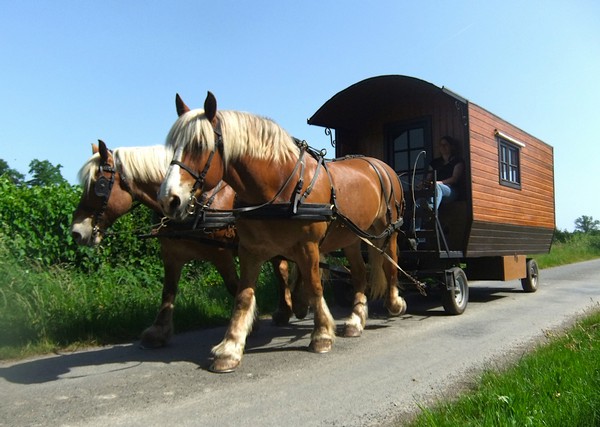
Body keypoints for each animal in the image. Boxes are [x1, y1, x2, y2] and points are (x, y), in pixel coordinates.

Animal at [71, 142, 304, 350]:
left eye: (100, 186)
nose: (76, 232)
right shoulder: (171, 254)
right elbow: (168, 292)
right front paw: (158, 332)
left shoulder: (221, 254)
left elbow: (233, 286)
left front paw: (251, 323)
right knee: (282, 269)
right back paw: (287, 309)